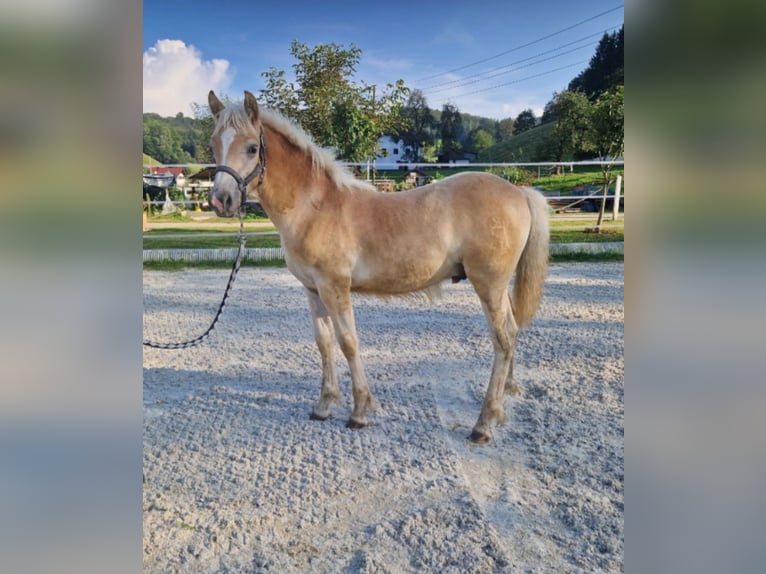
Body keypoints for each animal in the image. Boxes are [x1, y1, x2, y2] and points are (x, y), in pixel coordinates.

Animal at [207, 91, 548, 446]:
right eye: (213, 144)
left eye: (252, 147)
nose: (220, 200)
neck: (315, 208)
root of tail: (519, 191)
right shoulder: (313, 290)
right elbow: (324, 343)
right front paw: (324, 405)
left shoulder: (335, 287)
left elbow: (348, 342)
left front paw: (359, 411)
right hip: (498, 287)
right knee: (512, 332)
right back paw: (505, 396)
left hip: (488, 285)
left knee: (503, 341)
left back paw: (483, 423)